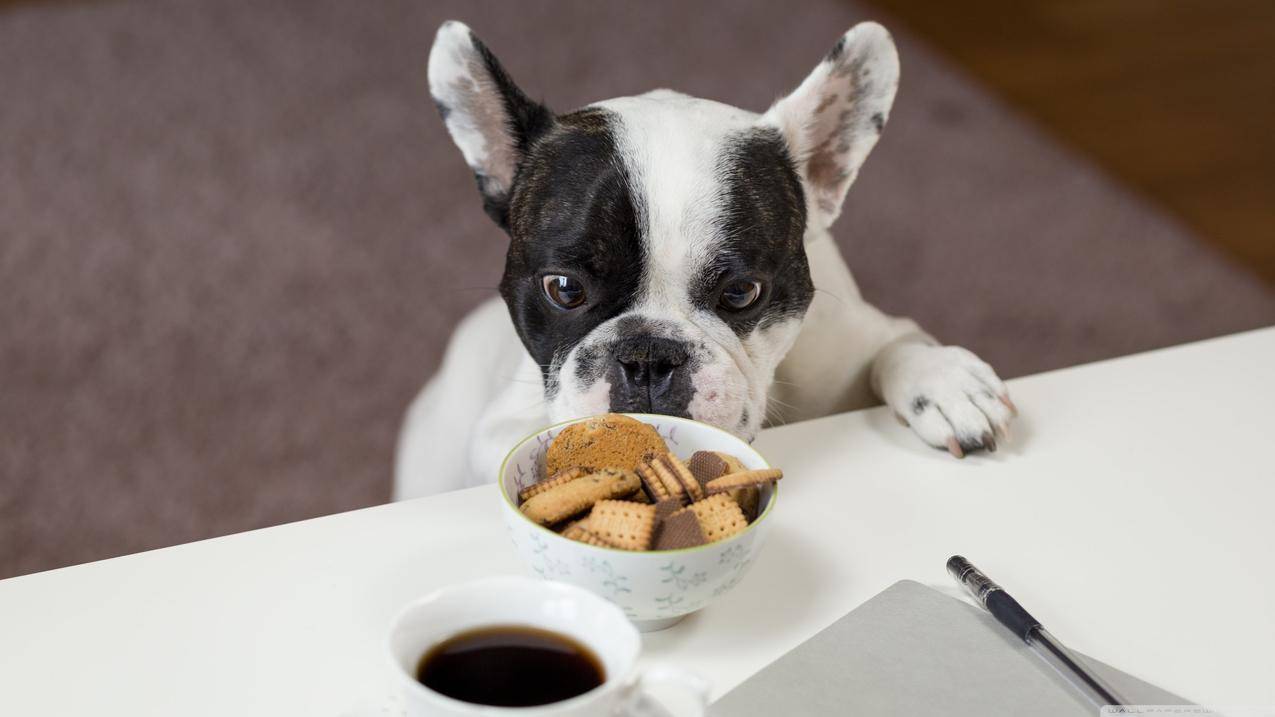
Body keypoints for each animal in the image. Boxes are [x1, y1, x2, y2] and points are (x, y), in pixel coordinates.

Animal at [392, 18, 1020, 497]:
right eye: (563, 289)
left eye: (741, 293)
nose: (647, 356)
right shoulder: (498, 426)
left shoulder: (856, 339)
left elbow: (898, 344)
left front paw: (944, 382)